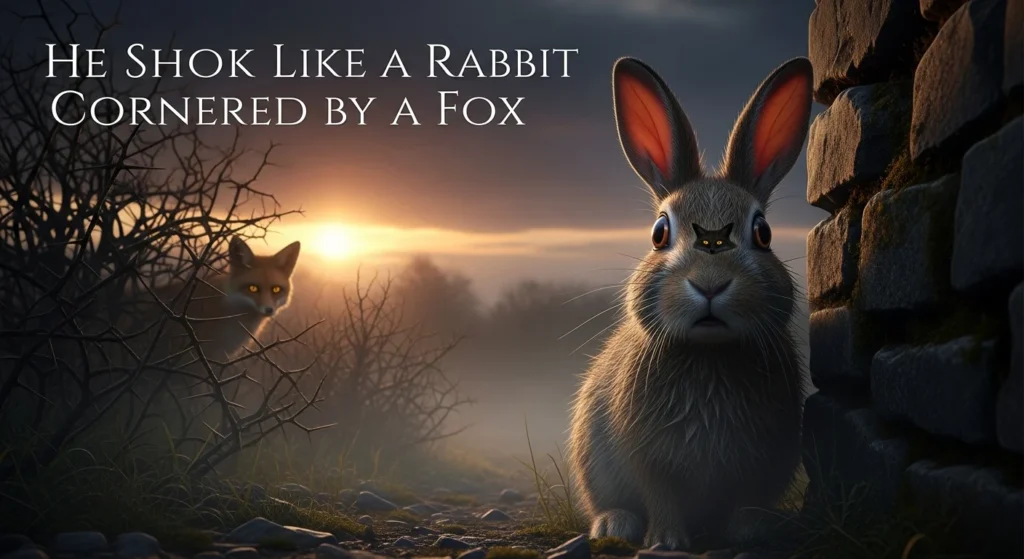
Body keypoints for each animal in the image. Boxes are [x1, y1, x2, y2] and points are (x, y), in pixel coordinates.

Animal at [566, 56, 813, 550]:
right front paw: (666, 541)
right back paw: (615, 525)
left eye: (764, 233)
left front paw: (750, 531)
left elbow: (747, 497)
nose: (710, 285)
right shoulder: (645, 457)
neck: (708, 356)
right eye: (659, 233)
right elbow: (660, 495)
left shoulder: (760, 460)